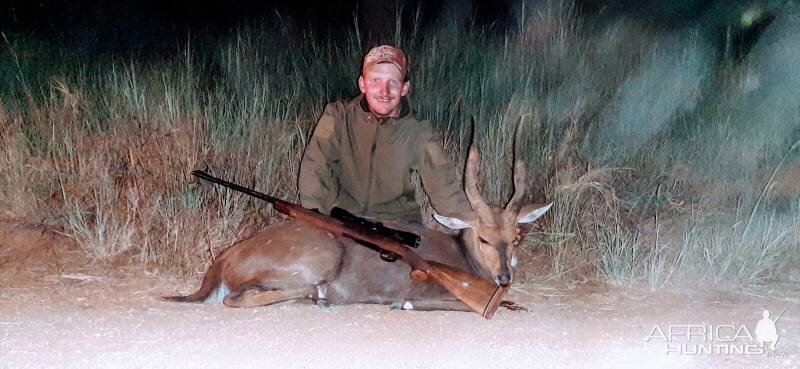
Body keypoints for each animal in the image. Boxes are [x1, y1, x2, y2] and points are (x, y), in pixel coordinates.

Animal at [162, 146, 552, 310]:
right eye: (483, 237)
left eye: (516, 237)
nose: (504, 278)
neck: (464, 259)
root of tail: (225, 257)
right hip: (321, 257)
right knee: (236, 298)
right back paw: (318, 295)